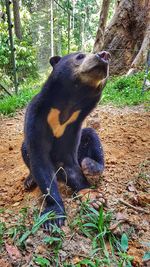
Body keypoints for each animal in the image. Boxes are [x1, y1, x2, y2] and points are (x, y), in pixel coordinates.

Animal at [21, 51, 110, 231]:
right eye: (80, 56)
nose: (104, 55)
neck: (69, 102)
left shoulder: (73, 127)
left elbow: (67, 161)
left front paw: (93, 197)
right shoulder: (36, 116)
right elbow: (40, 161)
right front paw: (53, 216)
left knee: (91, 135)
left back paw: (91, 166)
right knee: (25, 149)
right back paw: (29, 181)